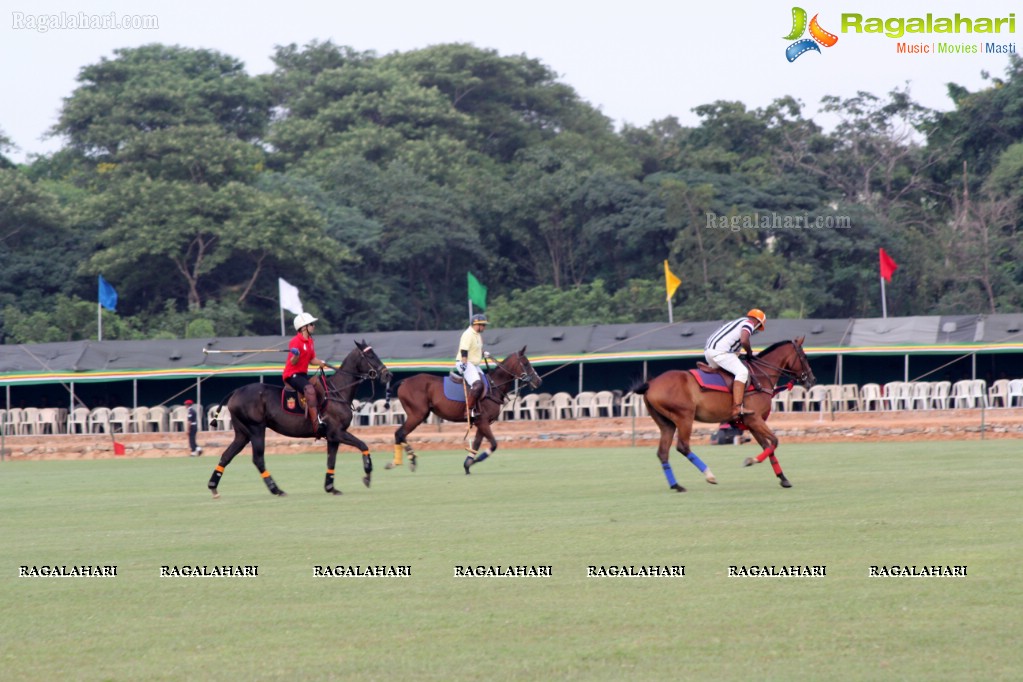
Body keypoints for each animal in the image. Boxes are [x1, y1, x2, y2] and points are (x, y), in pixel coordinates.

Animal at [204, 339, 390, 496]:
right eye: (370, 355)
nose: (387, 375)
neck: (338, 391)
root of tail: (235, 391)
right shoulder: (337, 432)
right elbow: (363, 444)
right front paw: (367, 474)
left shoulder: (333, 437)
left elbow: (331, 461)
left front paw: (330, 487)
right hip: (256, 429)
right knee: (258, 459)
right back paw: (276, 489)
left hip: (242, 433)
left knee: (226, 455)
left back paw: (213, 486)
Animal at [384, 347, 544, 474]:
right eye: (526, 363)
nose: (539, 381)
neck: (494, 387)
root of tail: (404, 381)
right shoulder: (483, 421)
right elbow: (493, 444)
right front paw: (475, 461)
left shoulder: (482, 422)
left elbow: (477, 443)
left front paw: (468, 464)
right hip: (417, 414)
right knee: (400, 433)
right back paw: (408, 460)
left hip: (417, 414)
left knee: (400, 434)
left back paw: (399, 461)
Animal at [630, 335, 814, 490]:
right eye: (804, 357)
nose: (812, 380)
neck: (760, 377)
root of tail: (650, 384)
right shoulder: (755, 419)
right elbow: (775, 441)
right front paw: (750, 461)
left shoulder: (751, 423)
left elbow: (769, 446)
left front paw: (783, 478)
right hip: (684, 417)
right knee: (682, 446)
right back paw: (709, 475)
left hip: (666, 423)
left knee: (662, 452)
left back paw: (676, 485)